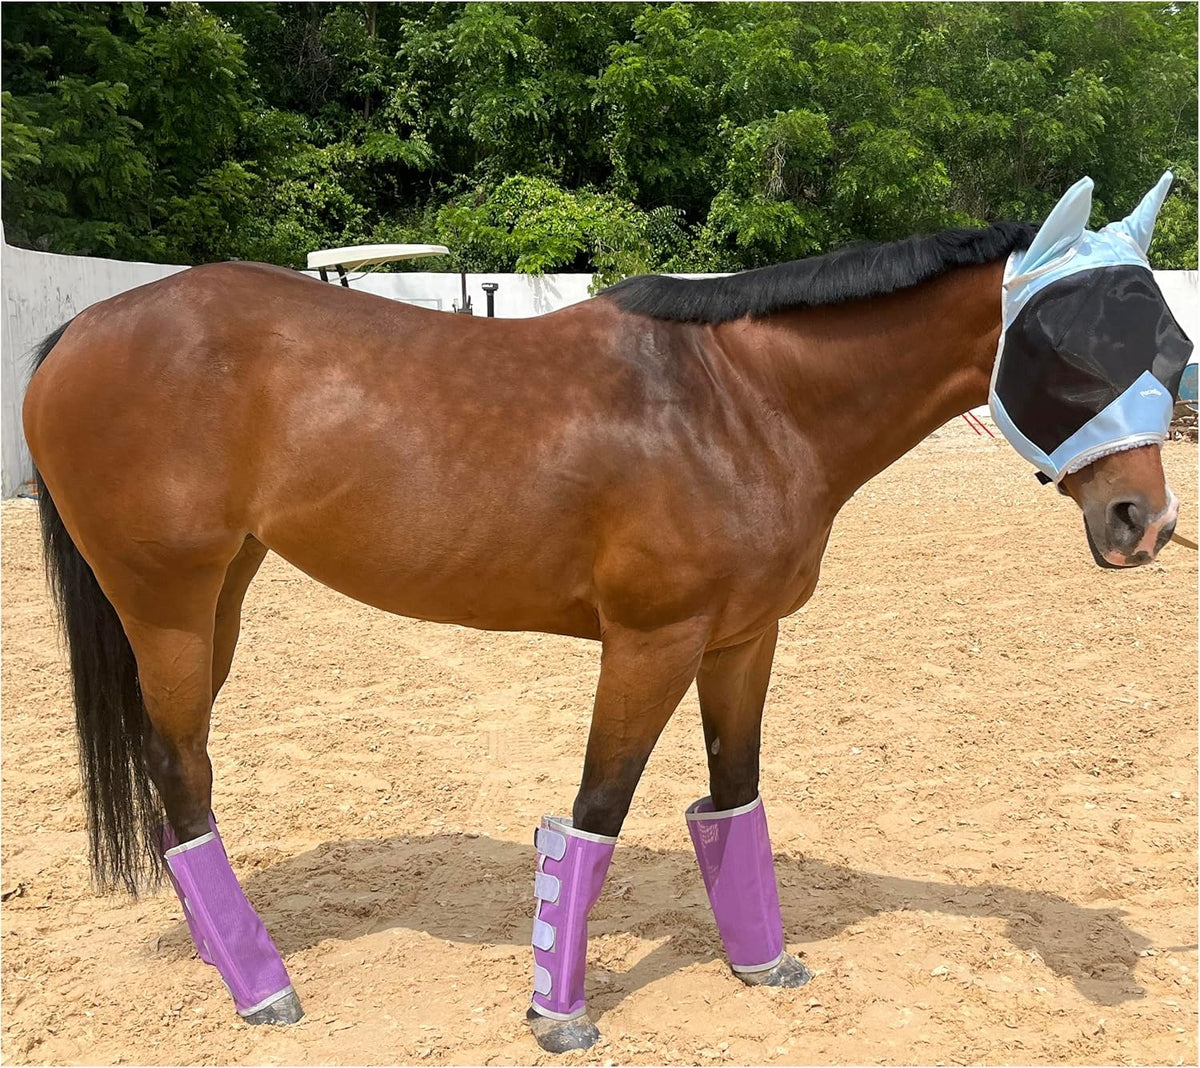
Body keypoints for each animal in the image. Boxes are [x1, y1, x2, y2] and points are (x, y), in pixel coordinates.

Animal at [22, 174, 1189, 1052]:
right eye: (1064, 348)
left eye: (1172, 350)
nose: (1142, 522)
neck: (738, 403)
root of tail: (81, 329)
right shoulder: (650, 642)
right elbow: (598, 809)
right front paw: (559, 1014)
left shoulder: (743, 639)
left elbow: (733, 799)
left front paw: (764, 963)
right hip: (168, 605)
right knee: (181, 773)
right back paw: (262, 988)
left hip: (219, 594)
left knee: (177, 769)